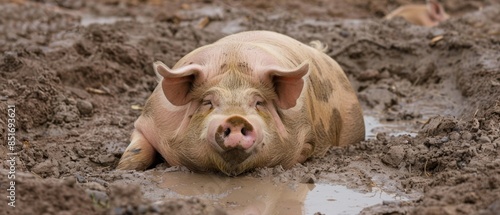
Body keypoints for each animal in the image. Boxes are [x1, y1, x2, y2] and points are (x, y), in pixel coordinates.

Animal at [118, 30, 368, 176]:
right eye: (208, 102)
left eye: (258, 102)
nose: (236, 118)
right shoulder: (148, 120)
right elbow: (137, 151)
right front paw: (122, 170)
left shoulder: (306, 134)